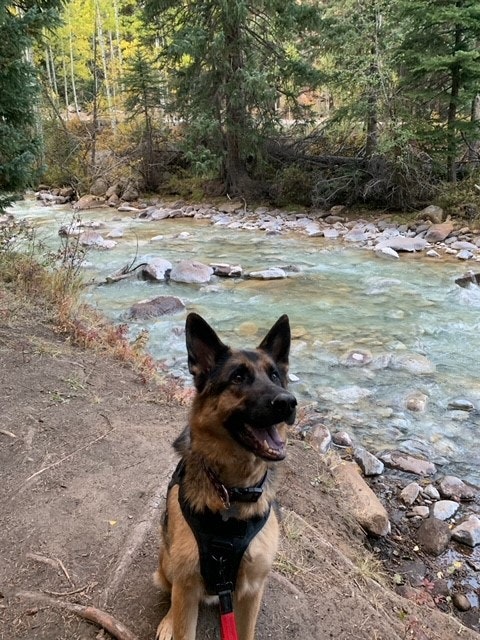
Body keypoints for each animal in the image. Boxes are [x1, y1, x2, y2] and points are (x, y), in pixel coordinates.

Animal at [155, 312, 296, 636]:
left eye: (274, 376)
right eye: (238, 377)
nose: (288, 401)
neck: (233, 492)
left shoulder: (252, 589)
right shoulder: (186, 585)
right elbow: (182, 626)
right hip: (168, 565)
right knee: (170, 593)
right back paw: (167, 621)